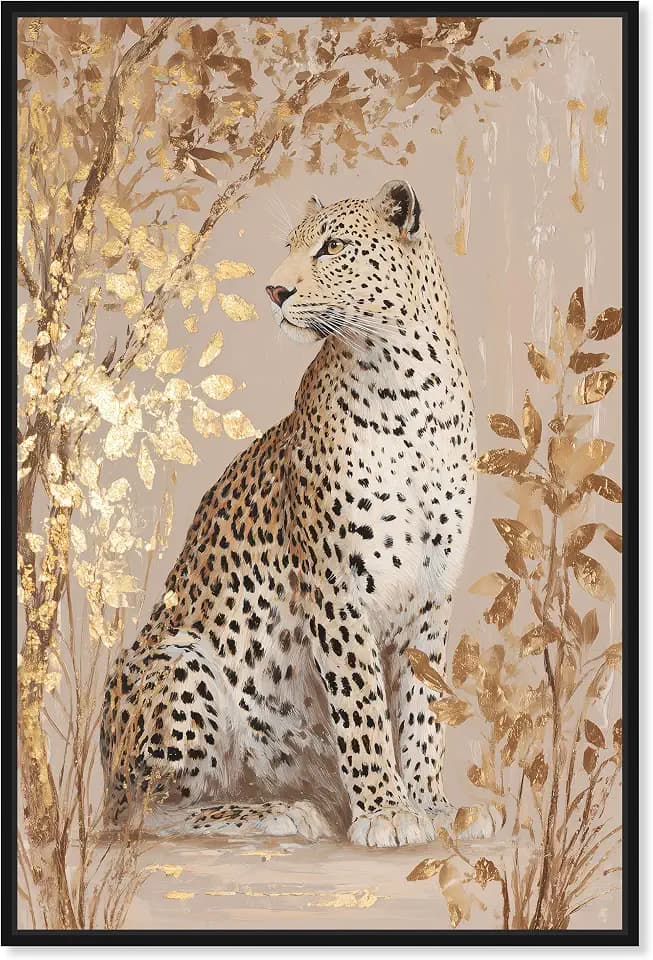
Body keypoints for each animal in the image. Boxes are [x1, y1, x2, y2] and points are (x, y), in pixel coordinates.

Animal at [100, 180, 485, 848]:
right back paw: (278, 812)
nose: (275, 291)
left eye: (333, 247)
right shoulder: (335, 584)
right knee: (145, 814)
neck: (412, 387)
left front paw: (431, 804)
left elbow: (425, 705)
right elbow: (361, 703)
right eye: (291, 249)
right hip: (180, 663)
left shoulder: (435, 589)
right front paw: (386, 810)